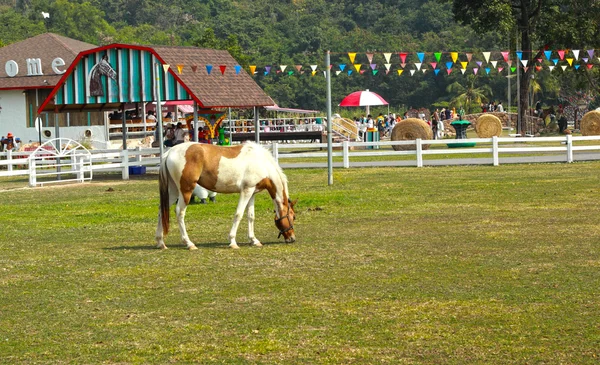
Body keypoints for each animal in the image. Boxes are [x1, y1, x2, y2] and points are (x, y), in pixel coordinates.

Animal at [154, 141, 296, 249]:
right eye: (293, 217)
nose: (292, 238)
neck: (261, 162)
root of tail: (169, 153)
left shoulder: (252, 193)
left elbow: (251, 216)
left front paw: (254, 240)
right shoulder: (246, 191)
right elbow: (238, 214)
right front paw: (232, 241)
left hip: (173, 191)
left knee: (162, 209)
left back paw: (161, 242)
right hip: (186, 191)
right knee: (180, 212)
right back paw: (189, 243)